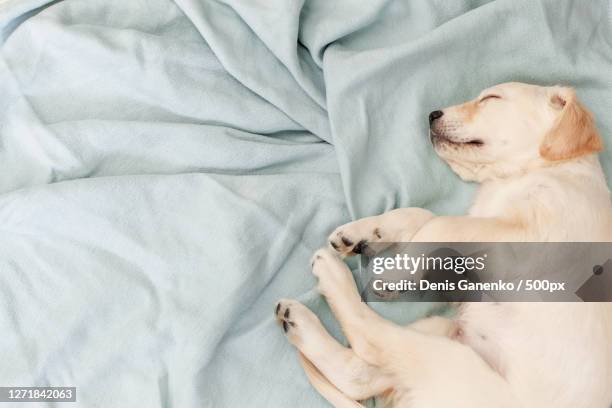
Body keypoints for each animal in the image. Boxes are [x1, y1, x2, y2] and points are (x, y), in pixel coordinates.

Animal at [274, 83, 612, 408]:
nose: (431, 114)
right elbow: (421, 216)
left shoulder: (531, 236)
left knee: (370, 340)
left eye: (491, 98)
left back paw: (332, 277)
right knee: (361, 374)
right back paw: (298, 318)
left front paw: (396, 272)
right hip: (444, 332)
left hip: (450, 363)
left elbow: (439, 224)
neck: (523, 175)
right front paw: (365, 232)